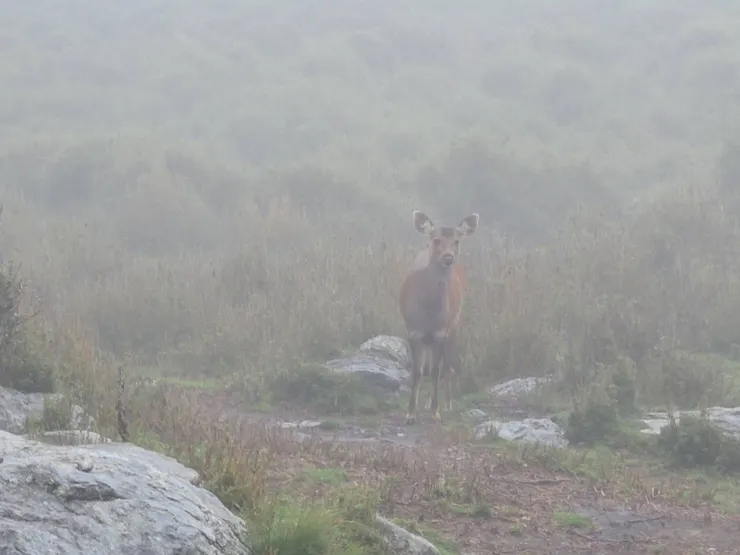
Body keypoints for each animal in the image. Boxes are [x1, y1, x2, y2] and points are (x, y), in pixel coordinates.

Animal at [399, 210, 479, 424]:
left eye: (457, 241)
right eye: (436, 240)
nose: (448, 257)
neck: (429, 312)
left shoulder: (441, 331)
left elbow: (436, 370)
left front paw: (436, 412)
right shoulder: (413, 330)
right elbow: (418, 371)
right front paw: (410, 413)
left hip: (455, 323)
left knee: (447, 364)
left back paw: (448, 403)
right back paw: (427, 402)